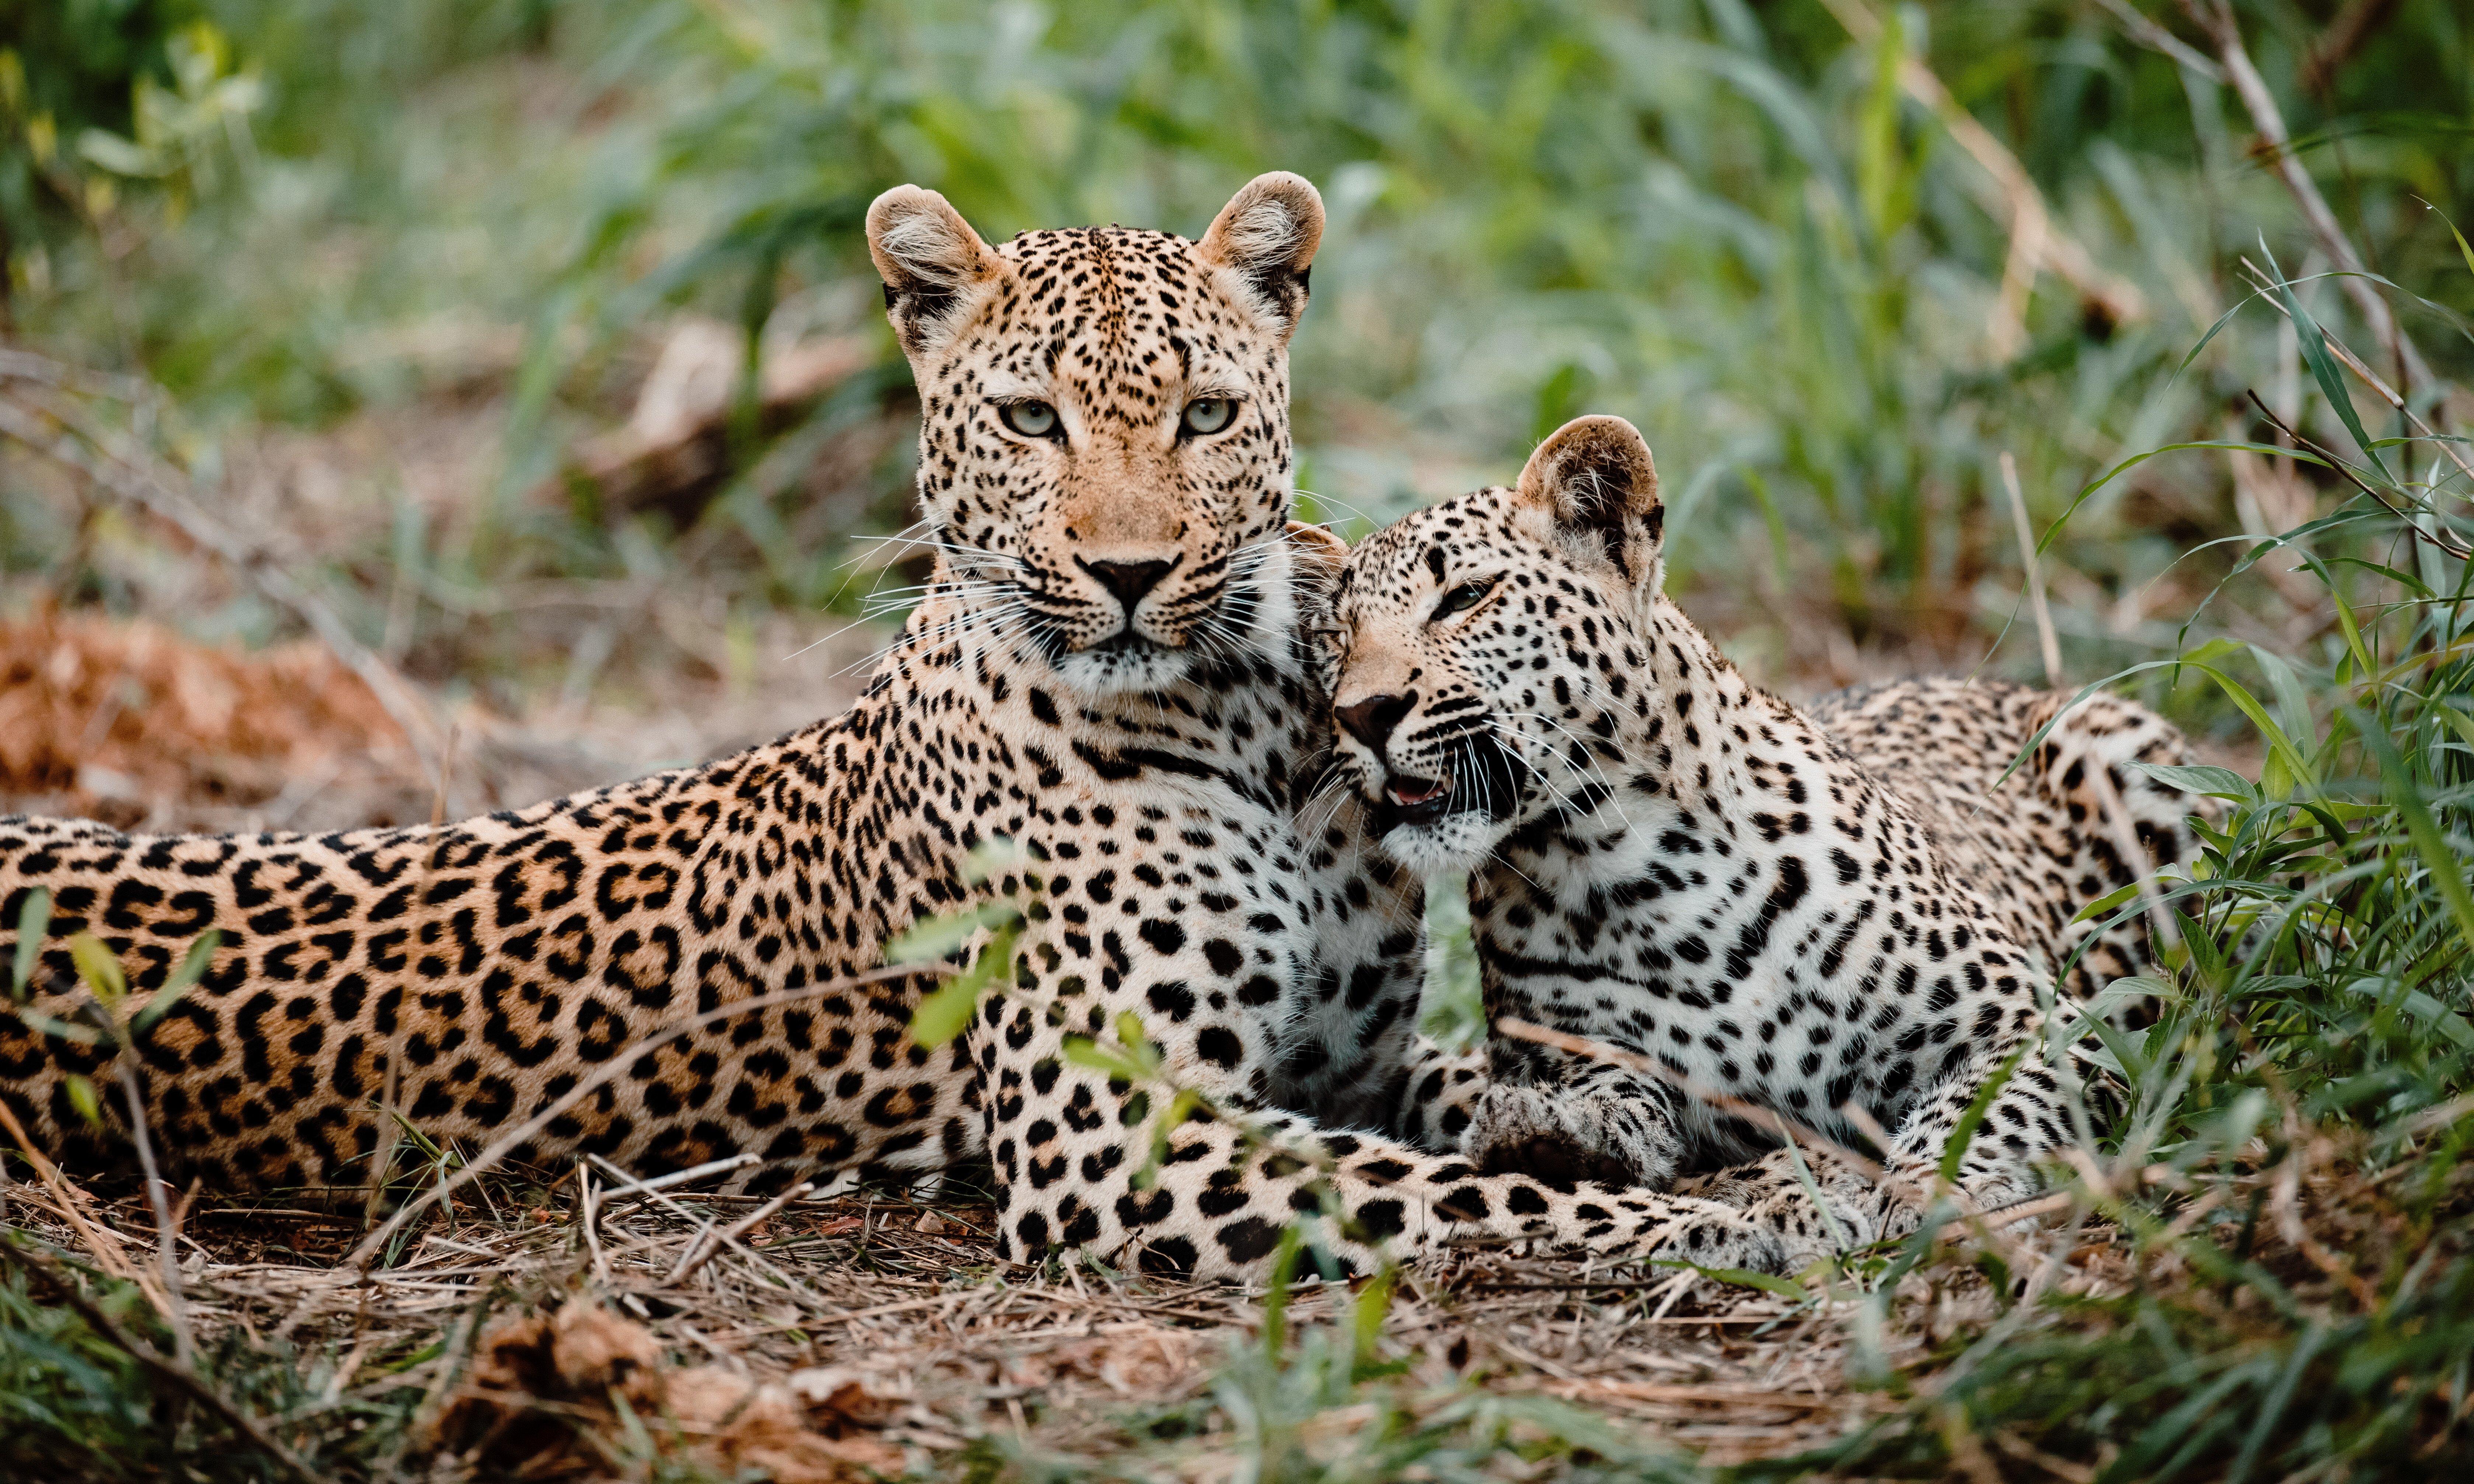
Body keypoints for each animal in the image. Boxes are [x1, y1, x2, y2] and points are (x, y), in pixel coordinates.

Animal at [0, 183, 1781, 1276]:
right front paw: (1731, 1225)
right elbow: (1436, 1193)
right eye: (1029, 419)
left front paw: (1607, 1110)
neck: (1249, 724)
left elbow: (1459, 1094)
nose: (1128, 573)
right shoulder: (1112, 1127)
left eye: (1204, 415)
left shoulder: (1336, 1056)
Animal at [1326, 411, 2216, 1266]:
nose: (1361, 714)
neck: (1631, 877)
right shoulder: (1593, 1059)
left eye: (1464, 596)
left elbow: (1983, 1108)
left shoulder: (2042, 1020)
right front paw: (1551, 1137)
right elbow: (1614, 1106)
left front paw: (1924, 1193)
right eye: (1338, 635)